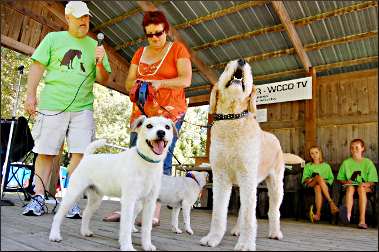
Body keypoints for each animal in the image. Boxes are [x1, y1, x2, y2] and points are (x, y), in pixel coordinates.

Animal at [48, 115, 177, 250]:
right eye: (149, 126)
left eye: (167, 127)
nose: (161, 133)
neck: (147, 163)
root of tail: (87, 157)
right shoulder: (129, 201)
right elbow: (126, 227)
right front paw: (127, 247)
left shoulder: (150, 202)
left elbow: (147, 228)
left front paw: (147, 245)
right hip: (73, 194)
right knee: (58, 216)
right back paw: (55, 235)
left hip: (95, 200)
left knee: (87, 214)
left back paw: (85, 232)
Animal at [202, 59, 306, 250]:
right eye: (227, 66)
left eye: (250, 71)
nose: (241, 61)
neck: (232, 118)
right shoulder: (221, 177)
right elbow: (218, 212)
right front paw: (213, 238)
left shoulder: (247, 176)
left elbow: (250, 216)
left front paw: (245, 244)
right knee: (243, 208)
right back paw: (237, 230)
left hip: (275, 186)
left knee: (273, 211)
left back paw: (275, 233)